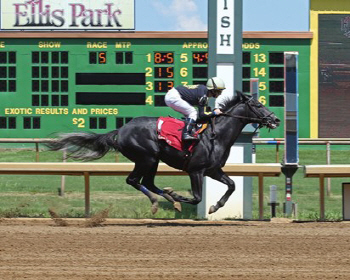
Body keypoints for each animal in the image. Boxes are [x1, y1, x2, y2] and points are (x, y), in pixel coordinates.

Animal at [47, 92, 282, 214]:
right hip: (147, 157)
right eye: (258, 104)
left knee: (146, 182)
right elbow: (196, 198)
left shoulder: (213, 170)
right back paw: (161, 200)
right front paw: (179, 196)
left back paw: (165, 198)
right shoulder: (196, 170)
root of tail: (120, 130)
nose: (276, 119)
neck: (216, 136)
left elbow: (231, 185)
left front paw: (215, 207)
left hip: (153, 161)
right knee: (134, 180)